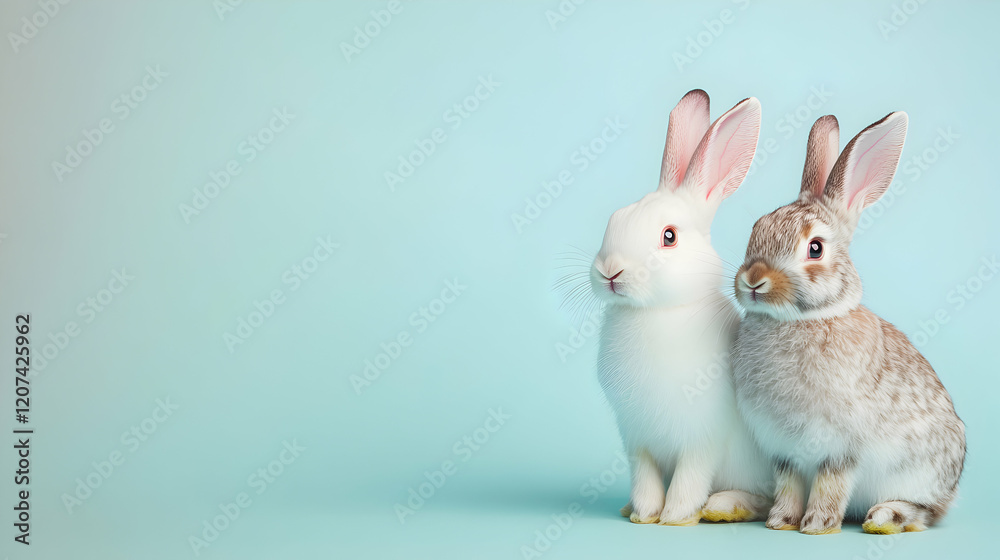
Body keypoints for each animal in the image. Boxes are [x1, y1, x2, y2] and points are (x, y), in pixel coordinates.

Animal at [592, 89, 773, 526]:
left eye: (669, 237)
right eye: (614, 219)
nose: (609, 271)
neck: (655, 312)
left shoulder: (704, 436)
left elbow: (691, 475)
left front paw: (675, 515)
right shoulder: (636, 438)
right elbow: (645, 477)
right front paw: (643, 513)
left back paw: (725, 506)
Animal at [731, 112, 966, 535]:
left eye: (815, 248)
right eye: (756, 228)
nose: (754, 280)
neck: (800, 320)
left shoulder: (840, 447)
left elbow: (831, 483)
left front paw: (817, 525)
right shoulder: (783, 450)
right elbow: (788, 483)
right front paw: (781, 521)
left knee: (927, 512)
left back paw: (886, 517)